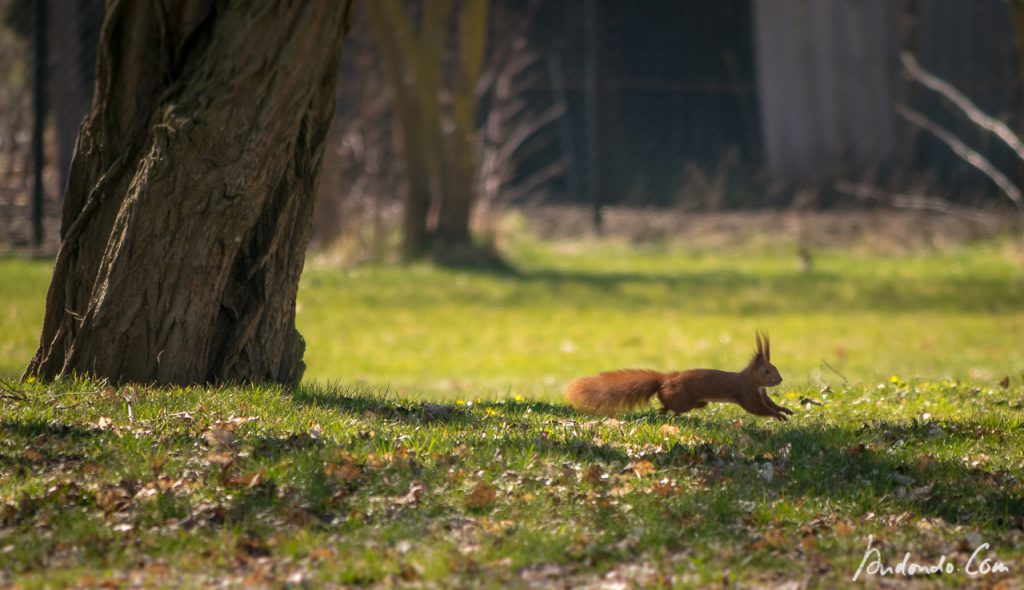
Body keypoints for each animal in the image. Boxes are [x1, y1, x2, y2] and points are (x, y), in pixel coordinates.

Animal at [561, 331, 790, 419]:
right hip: (680, 397)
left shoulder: (760, 392)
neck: (752, 380)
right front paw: (776, 415)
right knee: (669, 405)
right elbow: (757, 409)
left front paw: (784, 410)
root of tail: (666, 380)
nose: (780, 379)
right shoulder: (746, 391)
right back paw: (665, 410)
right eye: (767, 371)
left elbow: (769, 403)